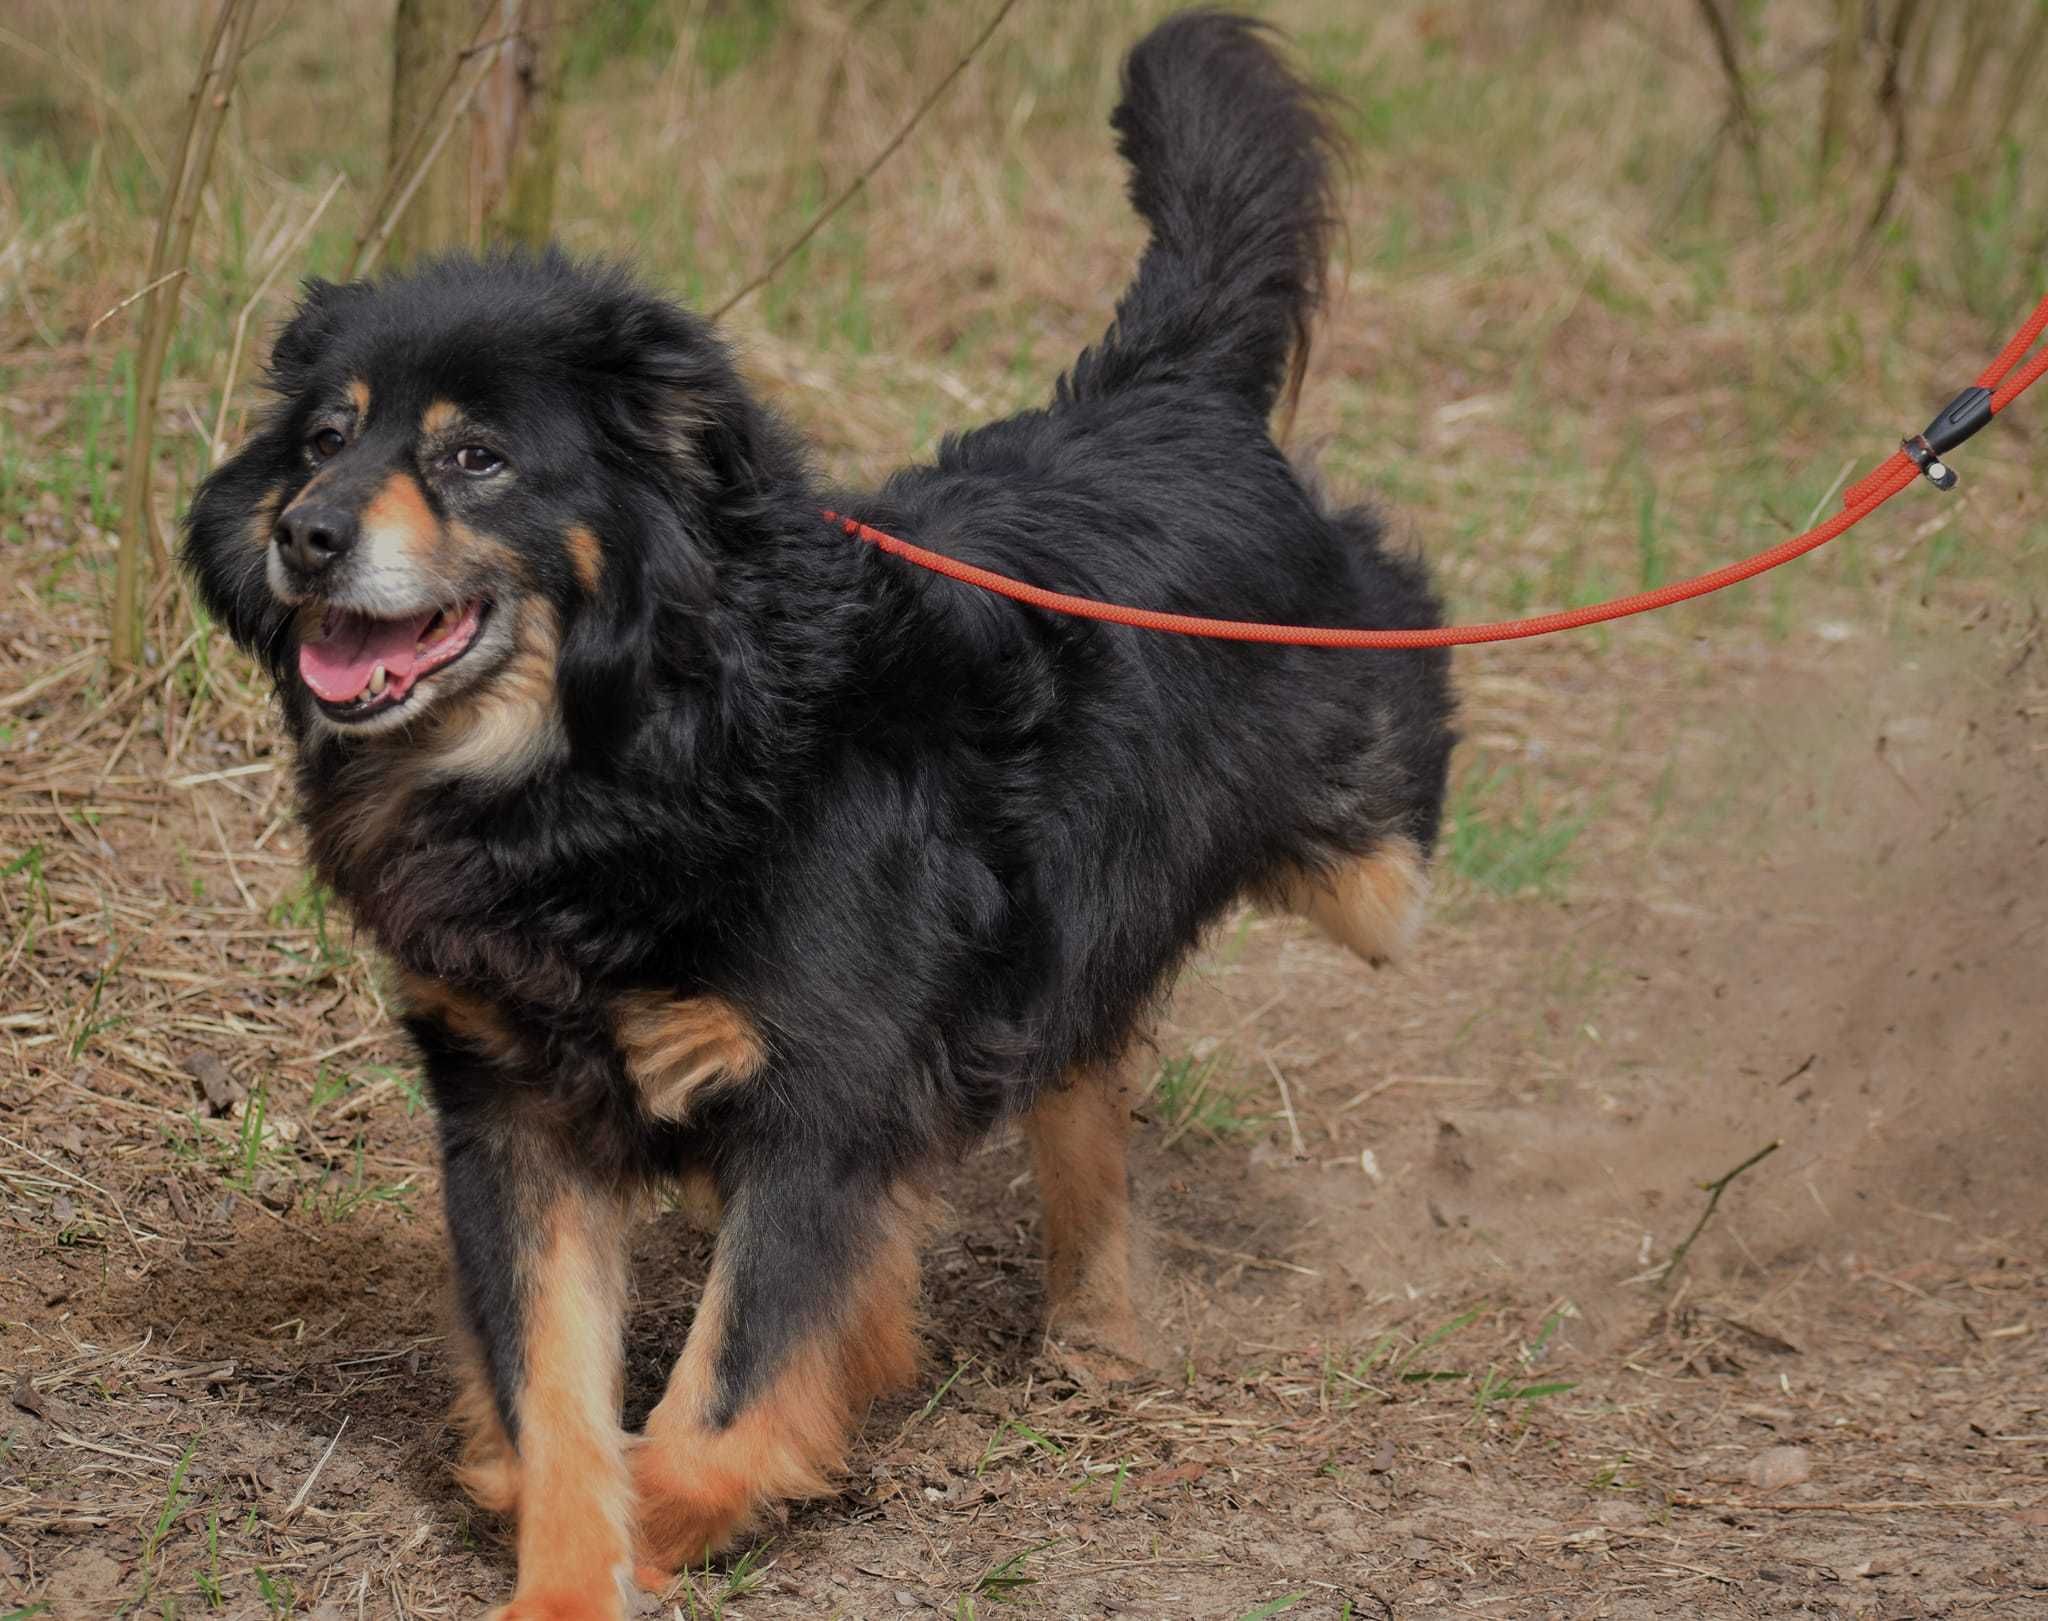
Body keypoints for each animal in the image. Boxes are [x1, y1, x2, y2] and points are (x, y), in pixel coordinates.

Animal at [180, 9, 1458, 1604]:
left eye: (476, 456)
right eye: (319, 441)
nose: (303, 536)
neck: (619, 766)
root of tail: (1165, 391)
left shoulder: (826, 1092)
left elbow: (719, 1404)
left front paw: (716, 1487)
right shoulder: (510, 1107)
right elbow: (552, 1405)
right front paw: (561, 1573)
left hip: (1341, 806)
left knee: (1391, 702)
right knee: (1082, 1057)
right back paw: (1097, 1329)